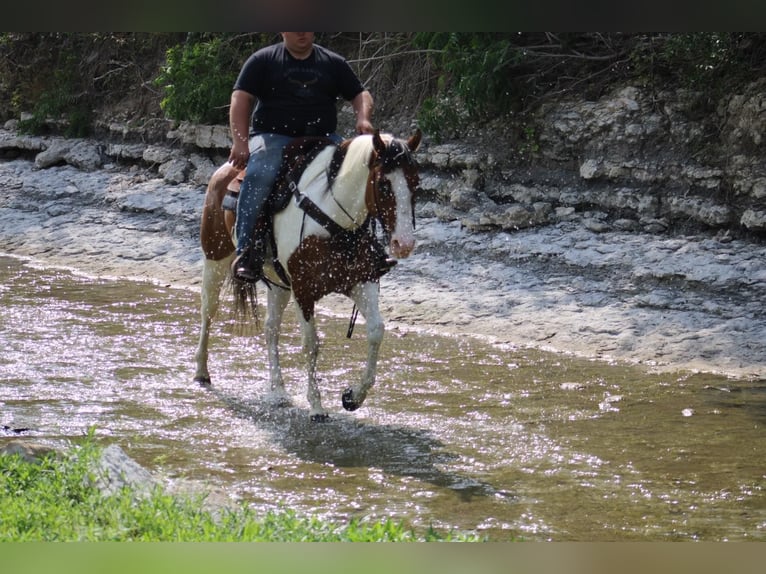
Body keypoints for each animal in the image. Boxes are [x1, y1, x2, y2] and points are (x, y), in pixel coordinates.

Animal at [190, 128, 420, 420]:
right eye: (383, 185)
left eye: (416, 184)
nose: (404, 244)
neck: (335, 220)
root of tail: (225, 169)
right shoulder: (303, 290)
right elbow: (311, 343)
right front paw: (316, 406)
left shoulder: (361, 281)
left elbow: (376, 330)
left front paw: (353, 397)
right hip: (215, 258)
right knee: (208, 310)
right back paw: (201, 372)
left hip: (278, 283)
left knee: (271, 329)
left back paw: (278, 390)